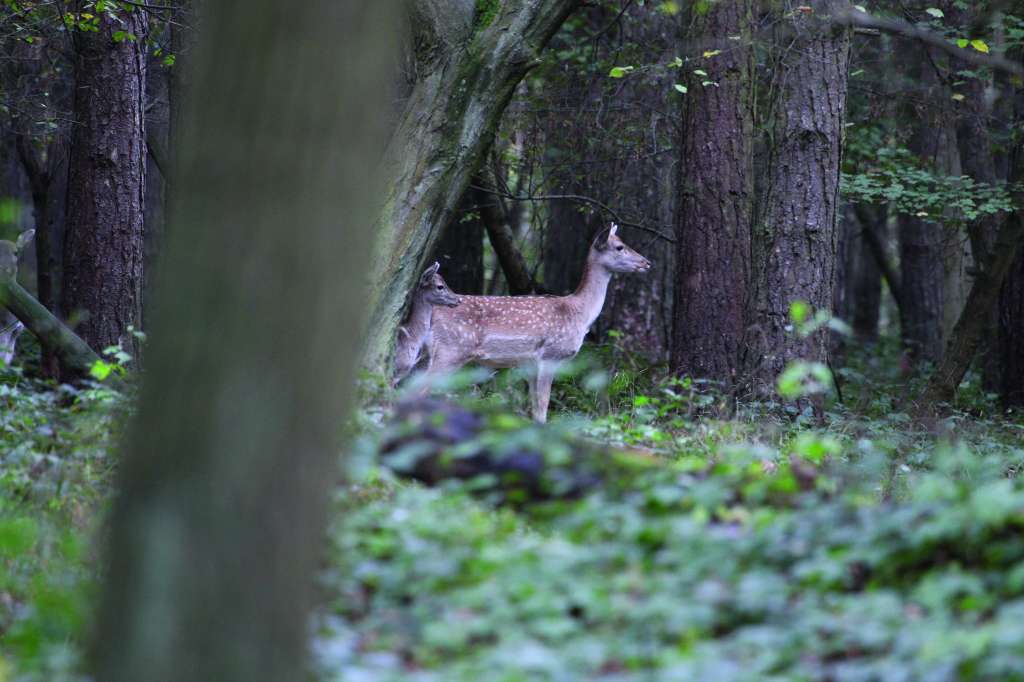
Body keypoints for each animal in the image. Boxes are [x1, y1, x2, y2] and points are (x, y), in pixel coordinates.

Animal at [428, 223, 651, 419]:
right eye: (619, 247)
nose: (647, 262)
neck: (579, 312)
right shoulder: (550, 355)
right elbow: (543, 404)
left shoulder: (530, 363)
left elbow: (533, 405)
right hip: (451, 350)